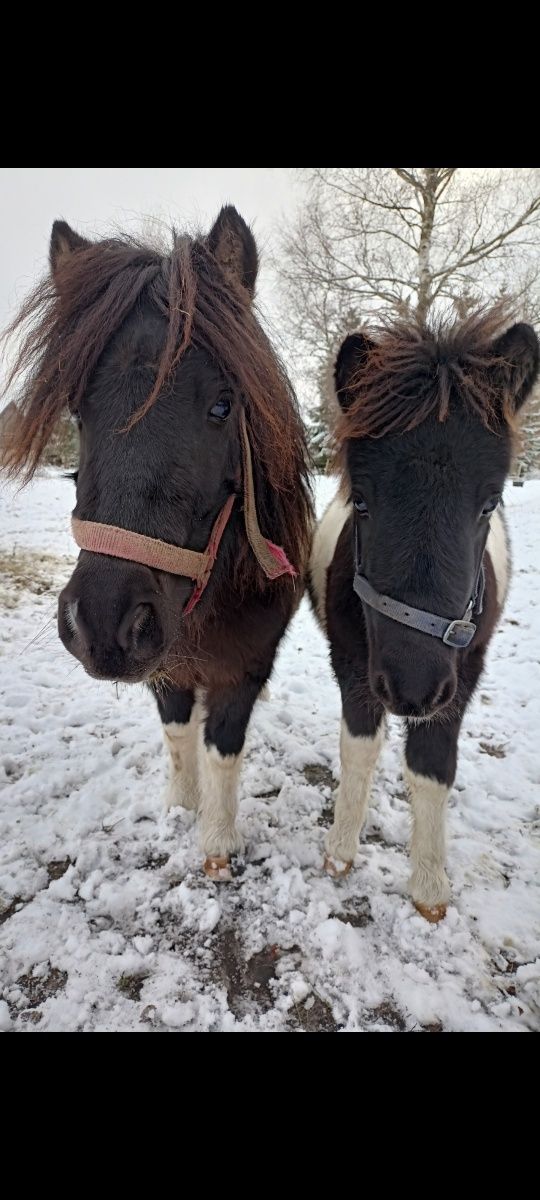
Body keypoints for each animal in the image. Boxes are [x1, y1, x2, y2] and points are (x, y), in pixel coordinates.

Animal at [3, 208, 312, 883]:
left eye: (223, 405)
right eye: (78, 411)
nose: (102, 623)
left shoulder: (244, 666)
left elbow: (222, 746)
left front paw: (216, 845)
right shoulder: (165, 667)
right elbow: (178, 734)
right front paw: (178, 809)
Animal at [309, 307, 537, 916]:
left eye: (490, 502)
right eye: (361, 500)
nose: (413, 689)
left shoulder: (462, 675)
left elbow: (433, 768)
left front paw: (429, 888)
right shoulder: (352, 664)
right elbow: (359, 748)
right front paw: (340, 852)